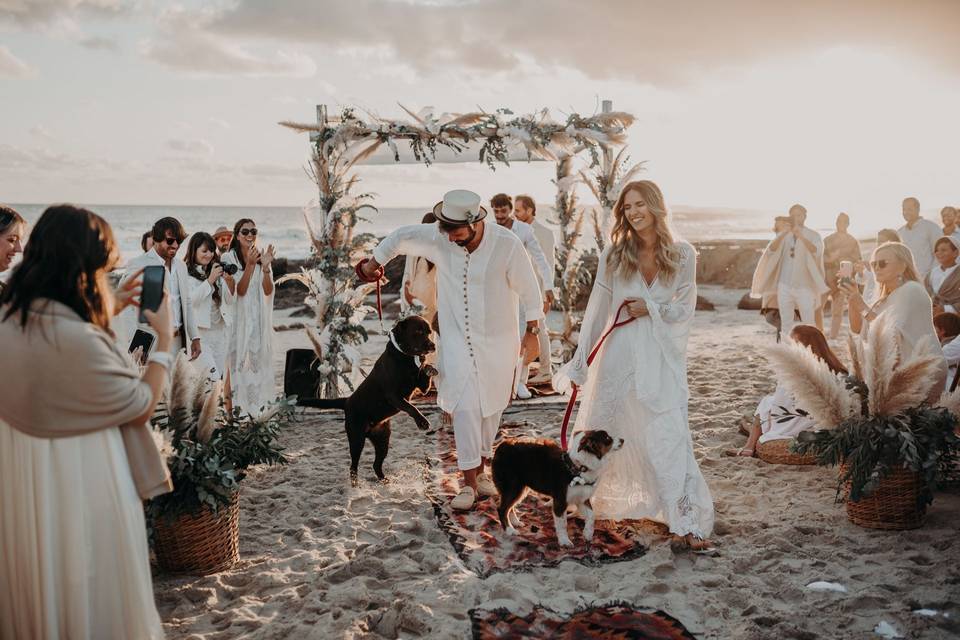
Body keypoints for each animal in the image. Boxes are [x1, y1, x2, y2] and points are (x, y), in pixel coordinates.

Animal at [302, 316, 436, 480]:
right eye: (418, 331)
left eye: (429, 332)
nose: (433, 345)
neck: (406, 357)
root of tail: (347, 401)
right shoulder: (393, 395)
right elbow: (411, 407)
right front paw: (422, 422)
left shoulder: (421, 387)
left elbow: (425, 379)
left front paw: (429, 368)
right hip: (356, 439)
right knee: (353, 467)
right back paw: (356, 483)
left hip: (383, 440)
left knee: (376, 465)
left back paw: (384, 480)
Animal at [496, 430, 624, 544]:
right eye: (607, 438)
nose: (623, 440)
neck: (579, 467)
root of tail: (502, 444)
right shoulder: (560, 501)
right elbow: (562, 524)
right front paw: (564, 541)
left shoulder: (581, 498)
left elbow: (592, 515)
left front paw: (588, 533)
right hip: (513, 486)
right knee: (502, 509)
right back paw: (510, 530)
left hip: (521, 488)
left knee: (510, 507)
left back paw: (515, 522)